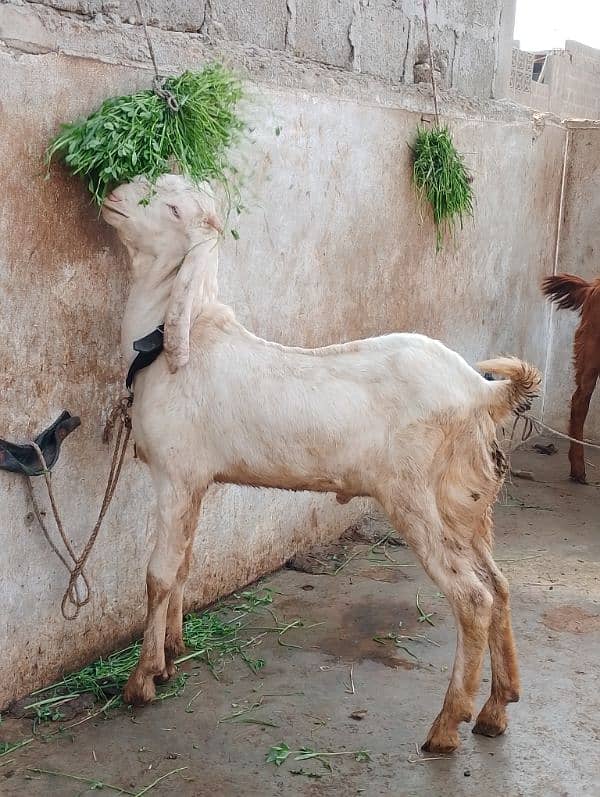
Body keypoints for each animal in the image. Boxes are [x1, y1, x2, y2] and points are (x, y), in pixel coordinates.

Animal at [102, 174, 540, 752]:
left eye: (173, 209)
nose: (112, 194)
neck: (186, 336)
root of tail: (480, 390)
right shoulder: (197, 480)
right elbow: (184, 565)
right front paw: (173, 650)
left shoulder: (174, 474)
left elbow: (157, 575)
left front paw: (142, 678)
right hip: (463, 496)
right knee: (499, 584)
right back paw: (497, 707)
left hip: (414, 495)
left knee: (472, 597)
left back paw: (446, 726)